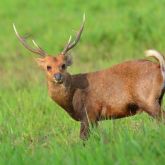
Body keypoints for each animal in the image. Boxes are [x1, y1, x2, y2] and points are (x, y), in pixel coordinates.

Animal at [12, 16, 165, 140]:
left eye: (63, 65)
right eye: (48, 67)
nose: (58, 76)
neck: (71, 101)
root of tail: (159, 66)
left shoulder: (89, 113)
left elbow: (83, 140)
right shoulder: (93, 118)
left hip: (147, 99)